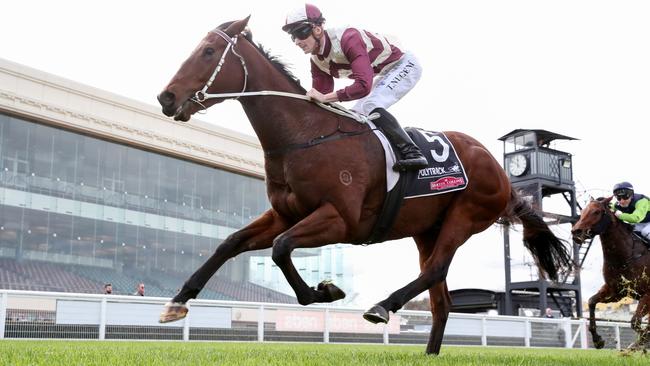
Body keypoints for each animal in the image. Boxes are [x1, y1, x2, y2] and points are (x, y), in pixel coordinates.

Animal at [154, 17, 568, 354]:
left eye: (208, 52)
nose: (166, 97)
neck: (304, 135)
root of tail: (500, 171)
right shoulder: (285, 214)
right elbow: (231, 242)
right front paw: (178, 301)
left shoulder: (341, 219)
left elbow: (281, 248)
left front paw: (323, 290)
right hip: (427, 230)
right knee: (441, 299)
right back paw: (428, 352)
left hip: (465, 216)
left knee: (435, 271)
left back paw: (382, 306)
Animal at [568, 197, 644, 348]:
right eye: (582, 212)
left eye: (596, 212)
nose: (576, 232)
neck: (625, 257)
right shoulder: (616, 292)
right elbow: (591, 301)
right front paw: (597, 340)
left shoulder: (647, 294)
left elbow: (636, 322)